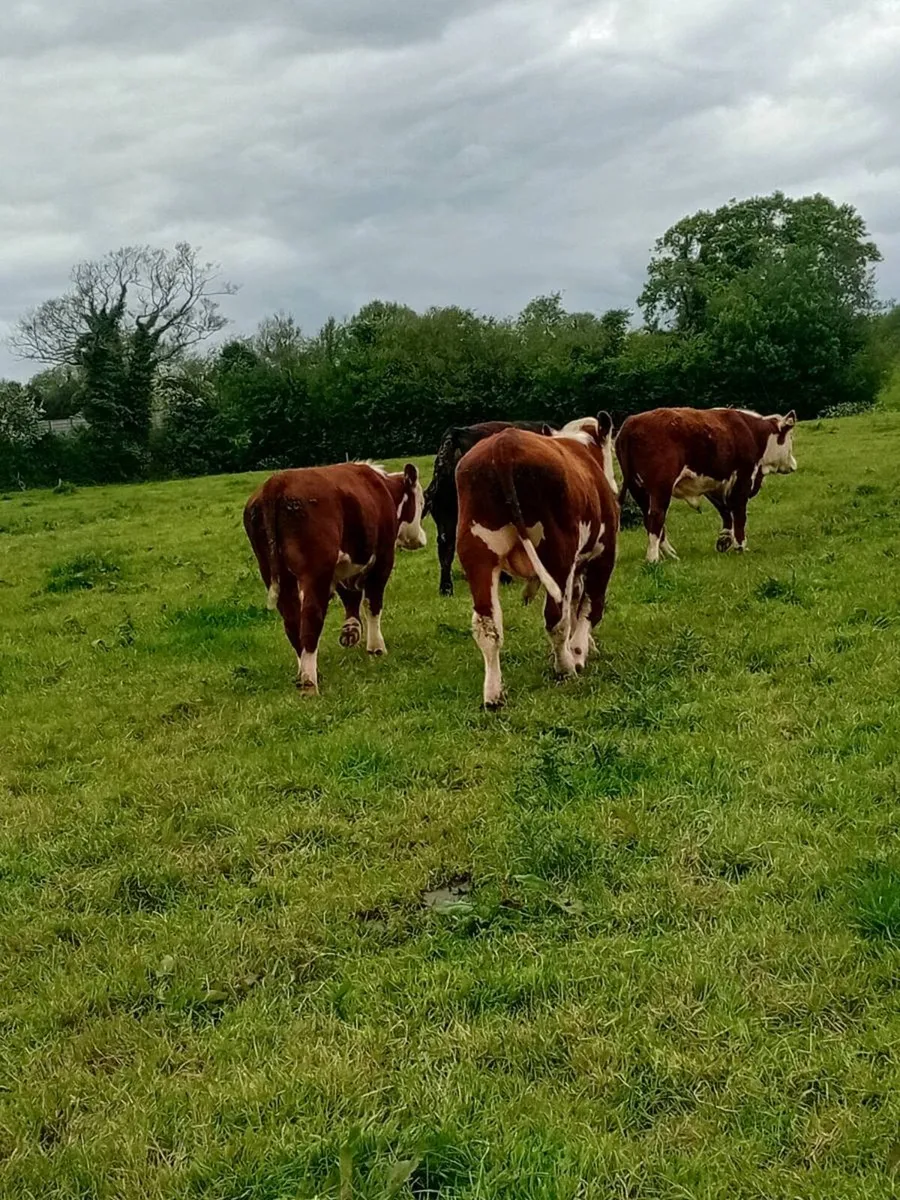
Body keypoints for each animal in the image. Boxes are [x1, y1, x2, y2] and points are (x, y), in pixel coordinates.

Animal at [243, 462, 427, 694]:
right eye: (421, 502)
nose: (421, 538)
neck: (382, 488)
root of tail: (276, 482)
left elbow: (350, 596)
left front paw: (351, 631)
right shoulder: (383, 558)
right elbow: (372, 602)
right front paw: (376, 648)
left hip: (273, 572)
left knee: (292, 621)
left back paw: (306, 672)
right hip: (315, 571)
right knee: (311, 617)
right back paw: (310, 683)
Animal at [456, 415, 619, 709]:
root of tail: (503, 445)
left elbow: (577, 600)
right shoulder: (603, 555)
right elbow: (589, 606)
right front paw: (579, 651)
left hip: (478, 554)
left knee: (487, 624)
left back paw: (493, 694)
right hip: (556, 552)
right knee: (556, 617)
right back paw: (565, 667)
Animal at [615, 407, 797, 563]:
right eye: (790, 437)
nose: (793, 464)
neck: (753, 433)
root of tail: (630, 423)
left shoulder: (714, 482)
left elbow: (725, 510)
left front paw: (724, 539)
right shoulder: (743, 478)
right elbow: (739, 513)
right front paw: (740, 546)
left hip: (638, 488)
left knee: (648, 519)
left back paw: (670, 553)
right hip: (660, 488)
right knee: (656, 517)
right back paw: (653, 558)